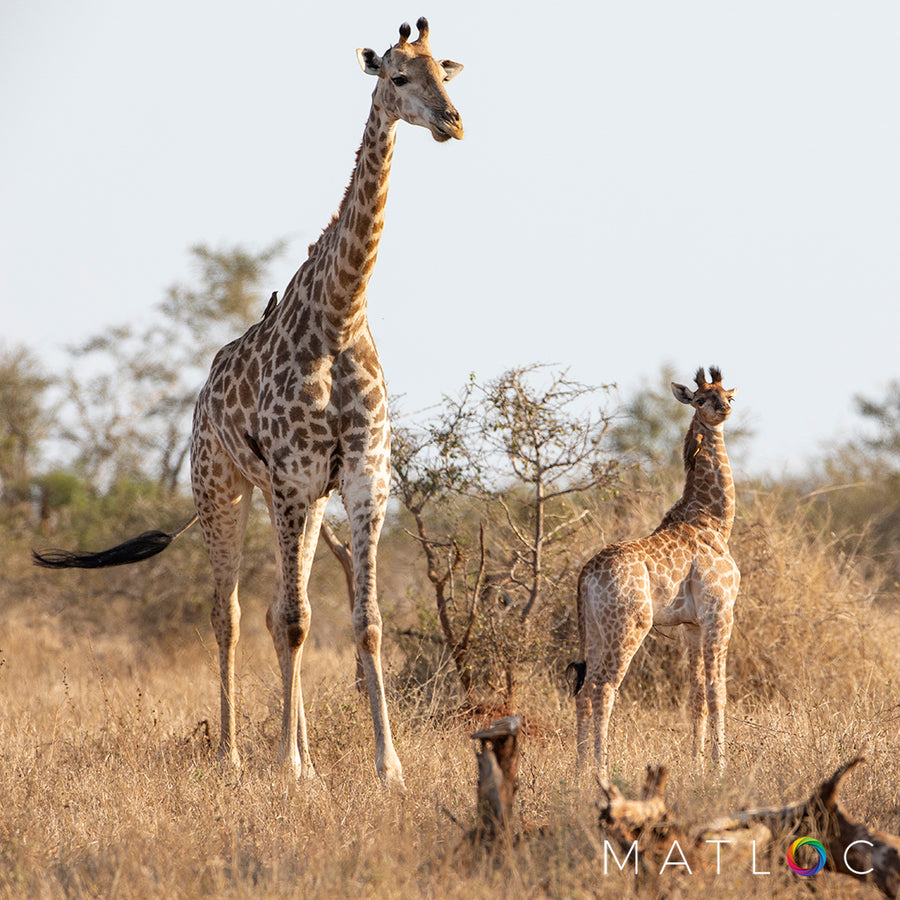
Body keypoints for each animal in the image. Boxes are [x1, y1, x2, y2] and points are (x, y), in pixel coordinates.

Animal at [33, 15, 464, 788]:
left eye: (444, 73)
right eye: (398, 76)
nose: (453, 123)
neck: (340, 316)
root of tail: (202, 392)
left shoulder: (361, 479)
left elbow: (362, 621)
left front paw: (385, 767)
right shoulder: (294, 478)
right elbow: (293, 621)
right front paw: (288, 768)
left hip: (289, 498)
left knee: (272, 610)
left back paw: (297, 755)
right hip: (222, 487)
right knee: (230, 613)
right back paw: (234, 753)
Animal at [568, 366, 740, 772]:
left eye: (728, 395)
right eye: (700, 398)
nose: (723, 410)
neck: (714, 520)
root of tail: (586, 575)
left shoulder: (691, 625)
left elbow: (695, 695)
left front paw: (696, 766)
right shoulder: (719, 612)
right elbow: (717, 691)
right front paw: (720, 768)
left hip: (594, 629)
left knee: (583, 689)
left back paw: (579, 771)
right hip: (631, 624)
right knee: (603, 688)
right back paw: (600, 769)